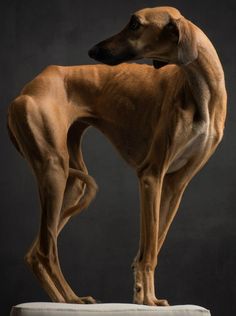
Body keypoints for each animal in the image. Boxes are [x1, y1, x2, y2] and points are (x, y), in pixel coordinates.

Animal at [7, 5, 226, 306]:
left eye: (135, 24)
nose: (92, 50)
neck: (201, 87)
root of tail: (25, 91)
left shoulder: (176, 184)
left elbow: (154, 244)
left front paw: (143, 295)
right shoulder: (151, 176)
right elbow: (149, 250)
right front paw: (148, 300)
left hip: (71, 183)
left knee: (35, 253)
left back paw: (66, 300)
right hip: (53, 171)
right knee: (45, 250)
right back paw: (71, 300)